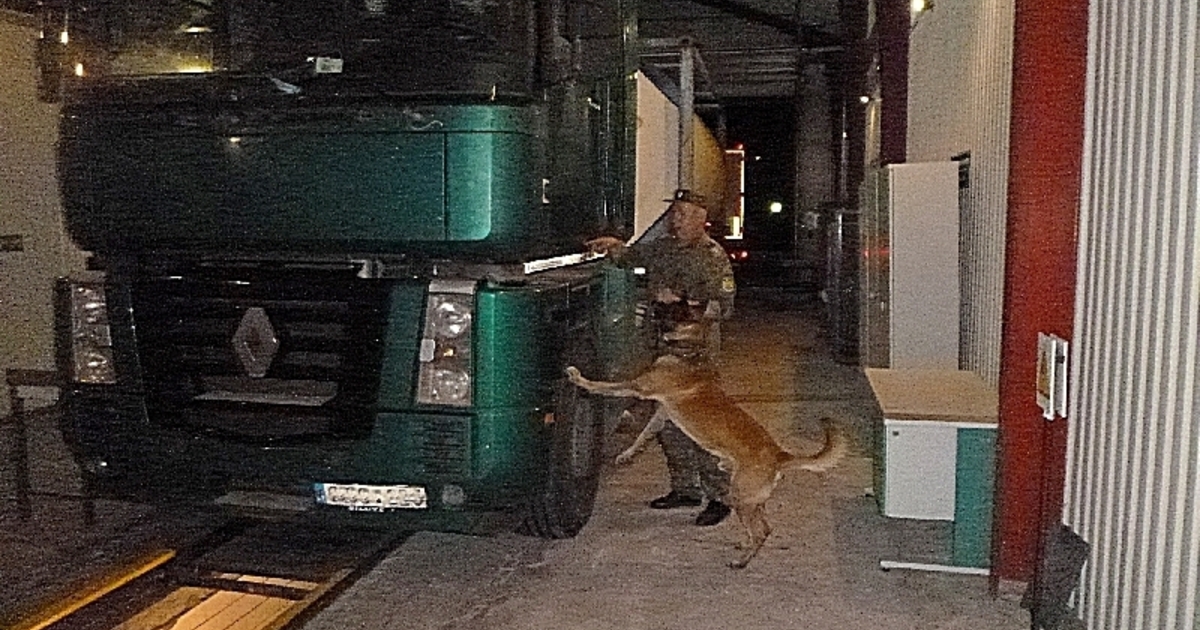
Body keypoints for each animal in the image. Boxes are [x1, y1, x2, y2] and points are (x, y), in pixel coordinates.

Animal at [566, 352, 849, 568]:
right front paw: (628, 453)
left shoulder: (642, 388)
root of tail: (779, 455)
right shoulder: (662, 414)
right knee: (765, 528)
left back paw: (742, 562)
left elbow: (606, 386)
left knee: (761, 531)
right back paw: (745, 545)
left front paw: (579, 378)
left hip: (741, 497)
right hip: (752, 500)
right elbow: (643, 435)